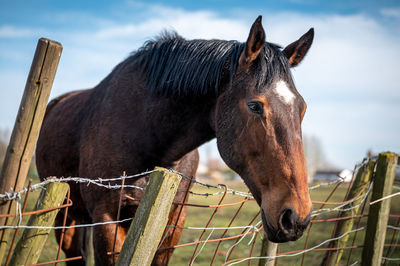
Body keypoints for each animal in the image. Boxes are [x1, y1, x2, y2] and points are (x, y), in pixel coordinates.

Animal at [36, 16, 314, 266]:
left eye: (302, 108)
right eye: (255, 105)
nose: (296, 218)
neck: (144, 135)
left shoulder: (173, 220)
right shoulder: (106, 220)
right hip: (65, 215)